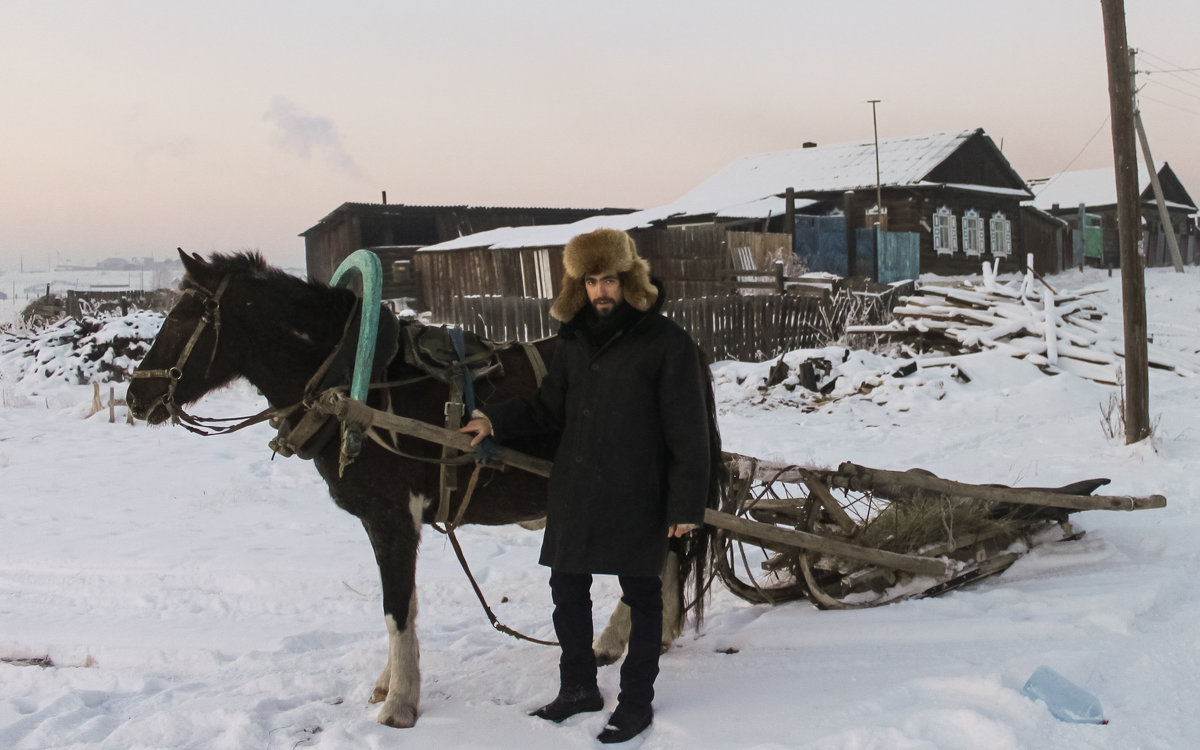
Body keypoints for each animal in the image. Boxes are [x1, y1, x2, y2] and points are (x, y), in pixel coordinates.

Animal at [126, 248, 710, 729]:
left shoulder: (392, 519)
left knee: (659, 558)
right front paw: (389, 683)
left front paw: (400, 703)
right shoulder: (381, 522)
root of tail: (690, 351)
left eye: (183, 316)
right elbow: (398, 603)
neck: (356, 383)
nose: (135, 396)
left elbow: (396, 606)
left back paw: (616, 640)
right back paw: (648, 635)